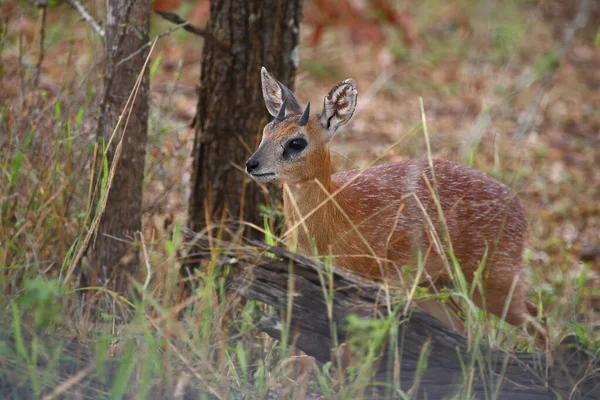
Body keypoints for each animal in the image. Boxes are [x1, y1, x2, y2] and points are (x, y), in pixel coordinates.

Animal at [246, 67, 548, 342]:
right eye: (266, 131)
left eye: (296, 142)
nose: (252, 164)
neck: (335, 221)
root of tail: (521, 212)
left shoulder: (371, 280)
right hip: (438, 285)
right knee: (467, 325)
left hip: (493, 276)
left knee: (538, 321)